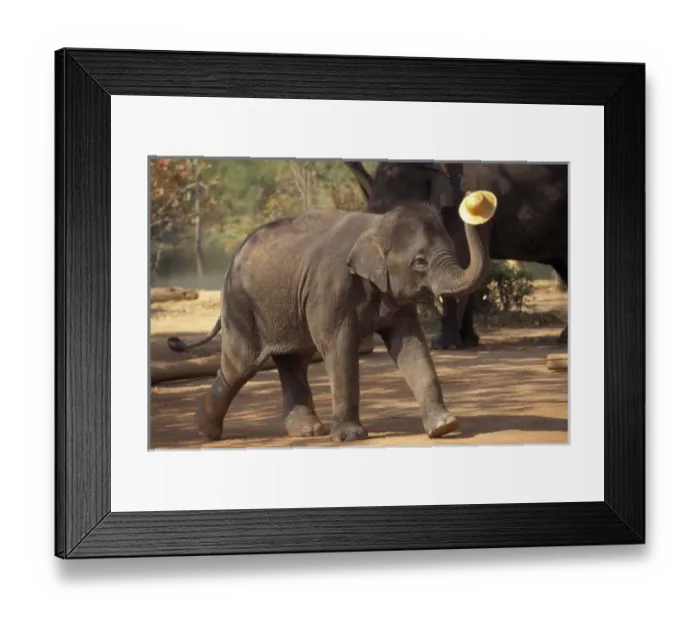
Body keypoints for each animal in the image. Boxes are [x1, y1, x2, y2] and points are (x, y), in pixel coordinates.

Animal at [166, 193, 498, 443]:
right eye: (419, 262)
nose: (475, 203)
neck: (376, 224)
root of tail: (233, 256)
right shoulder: (330, 287)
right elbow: (339, 347)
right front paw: (351, 437)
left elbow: (411, 347)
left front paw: (445, 426)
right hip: (241, 305)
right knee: (240, 366)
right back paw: (206, 432)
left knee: (293, 362)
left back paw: (308, 432)